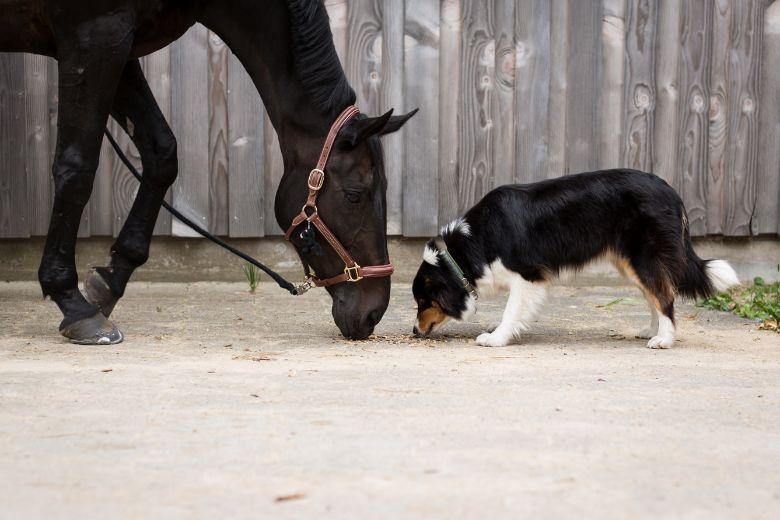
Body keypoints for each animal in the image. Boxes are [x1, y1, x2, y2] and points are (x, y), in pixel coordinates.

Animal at [0, 1, 418, 346]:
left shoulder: (120, 44)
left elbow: (162, 152)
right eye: (354, 195)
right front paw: (73, 303)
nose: (374, 312)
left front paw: (108, 283)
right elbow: (76, 169)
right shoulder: (94, 37)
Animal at [412, 171, 740, 350]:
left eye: (423, 301)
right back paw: (653, 330)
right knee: (656, 295)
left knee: (665, 296)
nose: (414, 331)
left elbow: (512, 310)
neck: (468, 248)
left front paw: (496, 338)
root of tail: (673, 193)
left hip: (644, 257)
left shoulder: (527, 276)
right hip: (631, 263)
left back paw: (664, 339)